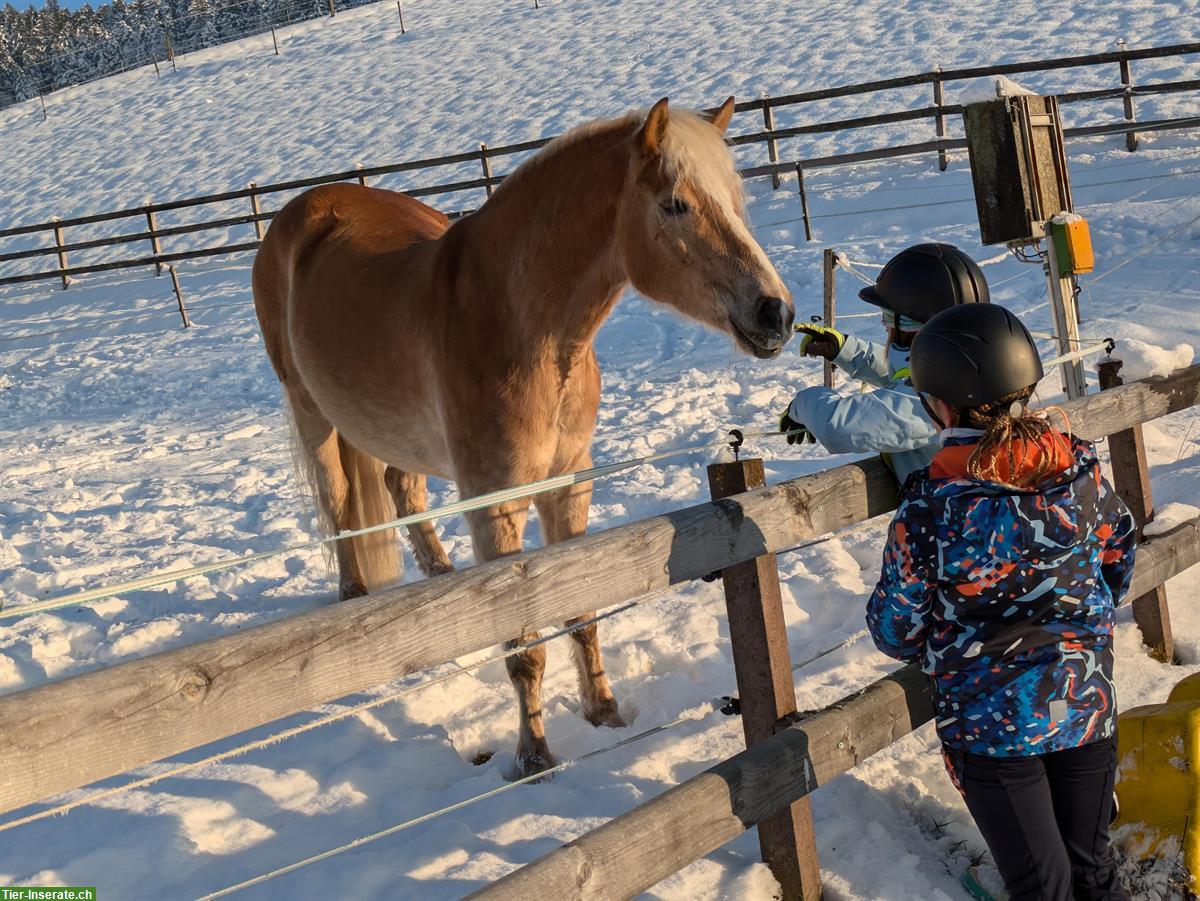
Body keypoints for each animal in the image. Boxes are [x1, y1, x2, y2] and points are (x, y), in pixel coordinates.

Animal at [252, 95, 792, 777]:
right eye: (675, 204)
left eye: (735, 198)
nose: (776, 313)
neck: (524, 327)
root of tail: (301, 213)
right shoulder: (495, 501)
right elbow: (525, 646)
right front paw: (534, 755)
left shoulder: (568, 484)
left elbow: (582, 612)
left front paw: (604, 712)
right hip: (312, 415)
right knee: (339, 503)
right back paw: (354, 592)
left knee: (403, 489)